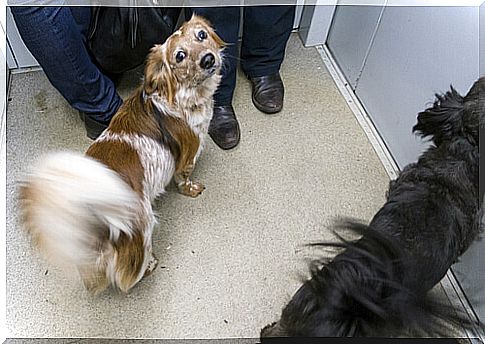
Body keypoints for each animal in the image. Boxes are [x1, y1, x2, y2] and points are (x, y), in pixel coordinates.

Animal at [18, 16, 224, 294]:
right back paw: (149, 266)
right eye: (179, 56)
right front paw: (191, 189)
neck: (179, 96)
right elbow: (185, 178)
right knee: (128, 276)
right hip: (143, 229)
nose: (208, 59)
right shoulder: (189, 154)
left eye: (202, 35)